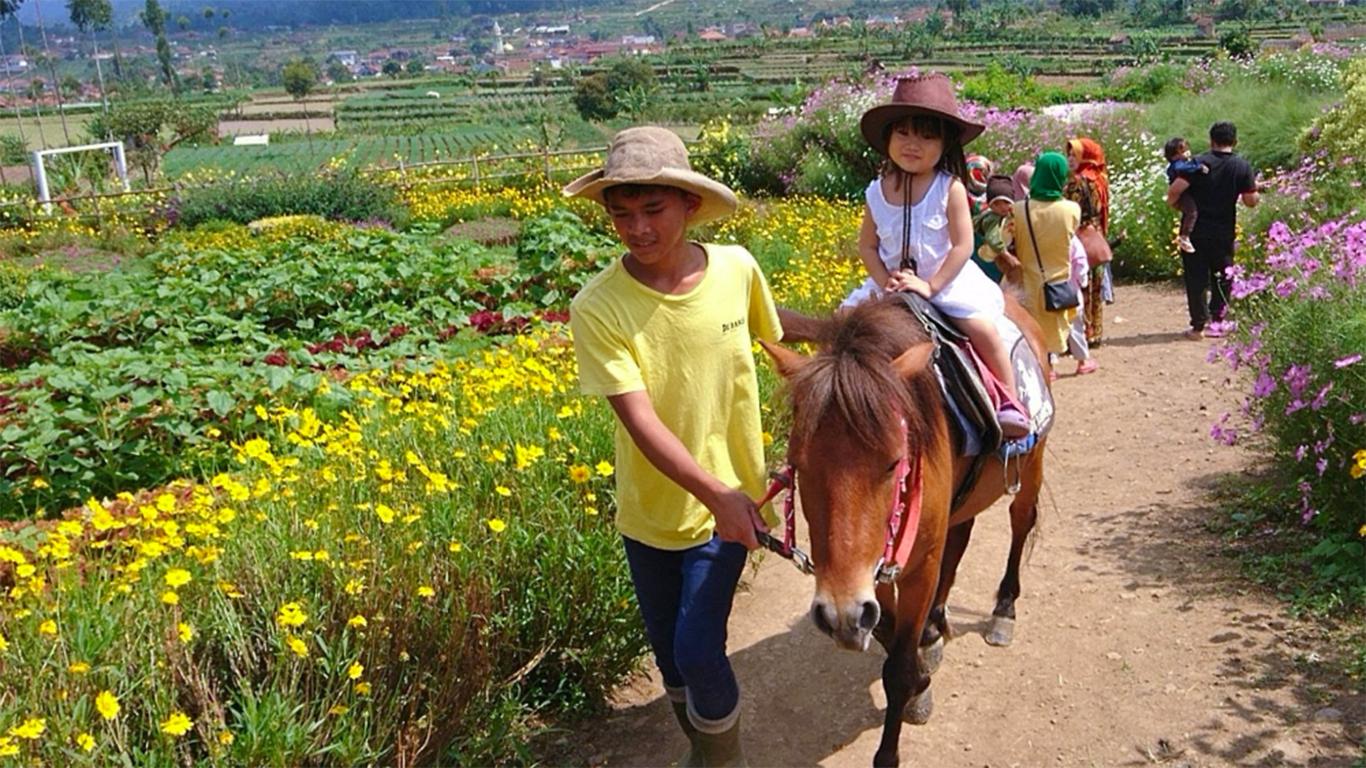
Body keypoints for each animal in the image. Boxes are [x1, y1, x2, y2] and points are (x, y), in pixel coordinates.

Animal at [770, 293, 1043, 765]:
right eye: (799, 464)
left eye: (894, 461)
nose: (838, 614)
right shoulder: (871, 572)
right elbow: (885, 629)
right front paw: (921, 662)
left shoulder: (912, 571)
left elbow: (897, 668)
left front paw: (904, 716)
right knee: (959, 538)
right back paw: (935, 626)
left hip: (1033, 467)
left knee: (1019, 524)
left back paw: (1004, 610)